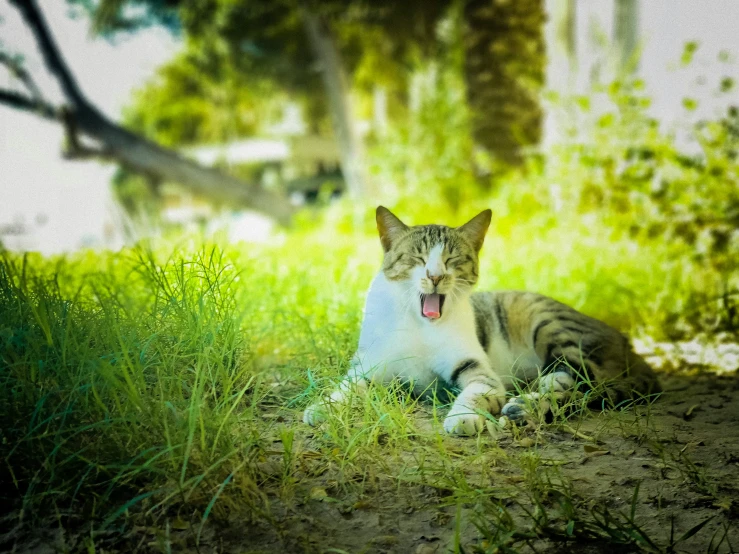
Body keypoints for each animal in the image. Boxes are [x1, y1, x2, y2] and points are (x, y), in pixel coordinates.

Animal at [304, 205, 660, 434]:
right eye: (418, 258)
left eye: (453, 259)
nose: (435, 276)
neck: (420, 325)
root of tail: (629, 345)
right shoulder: (369, 367)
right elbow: (346, 388)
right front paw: (322, 407)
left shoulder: (476, 369)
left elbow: (477, 391)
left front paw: (462, 417)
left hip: (546, 320)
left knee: (588, 380)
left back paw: (531, 402)